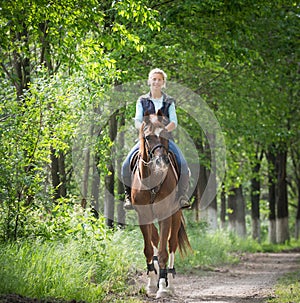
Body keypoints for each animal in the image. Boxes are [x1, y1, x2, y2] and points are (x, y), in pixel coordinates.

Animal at [131, 111, 191, 300]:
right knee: (157, 241)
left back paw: (169, 283)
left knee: (171, 244)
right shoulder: (143, 216)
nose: (162, 162)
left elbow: (164, 252)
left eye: (165, 135)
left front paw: (163, 288)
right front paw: (151, 285)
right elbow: (149, 250)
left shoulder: (165, 214)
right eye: (148, 136)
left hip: (176, 214)